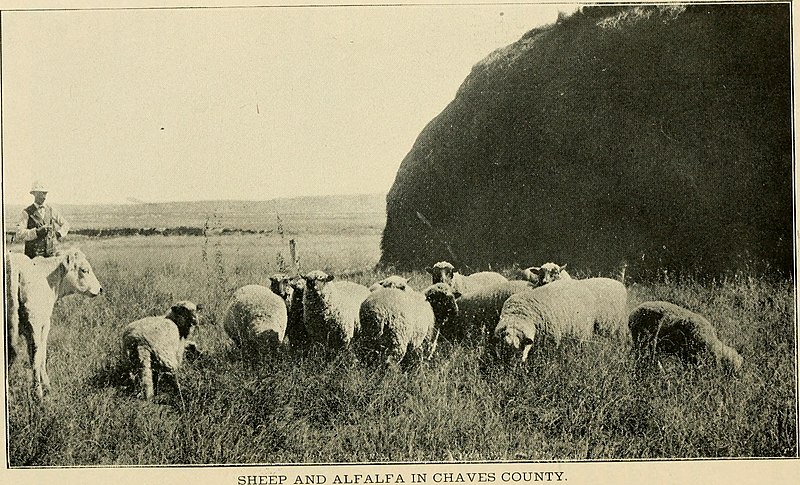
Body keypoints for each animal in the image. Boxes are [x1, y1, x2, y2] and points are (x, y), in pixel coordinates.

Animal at [5, 248, 102, 398]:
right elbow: (40, 354)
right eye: (84, 270)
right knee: (35, 353)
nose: (100, 289)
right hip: (35, 321)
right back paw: (38, 392)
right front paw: (46, 386)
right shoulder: (43, 325)